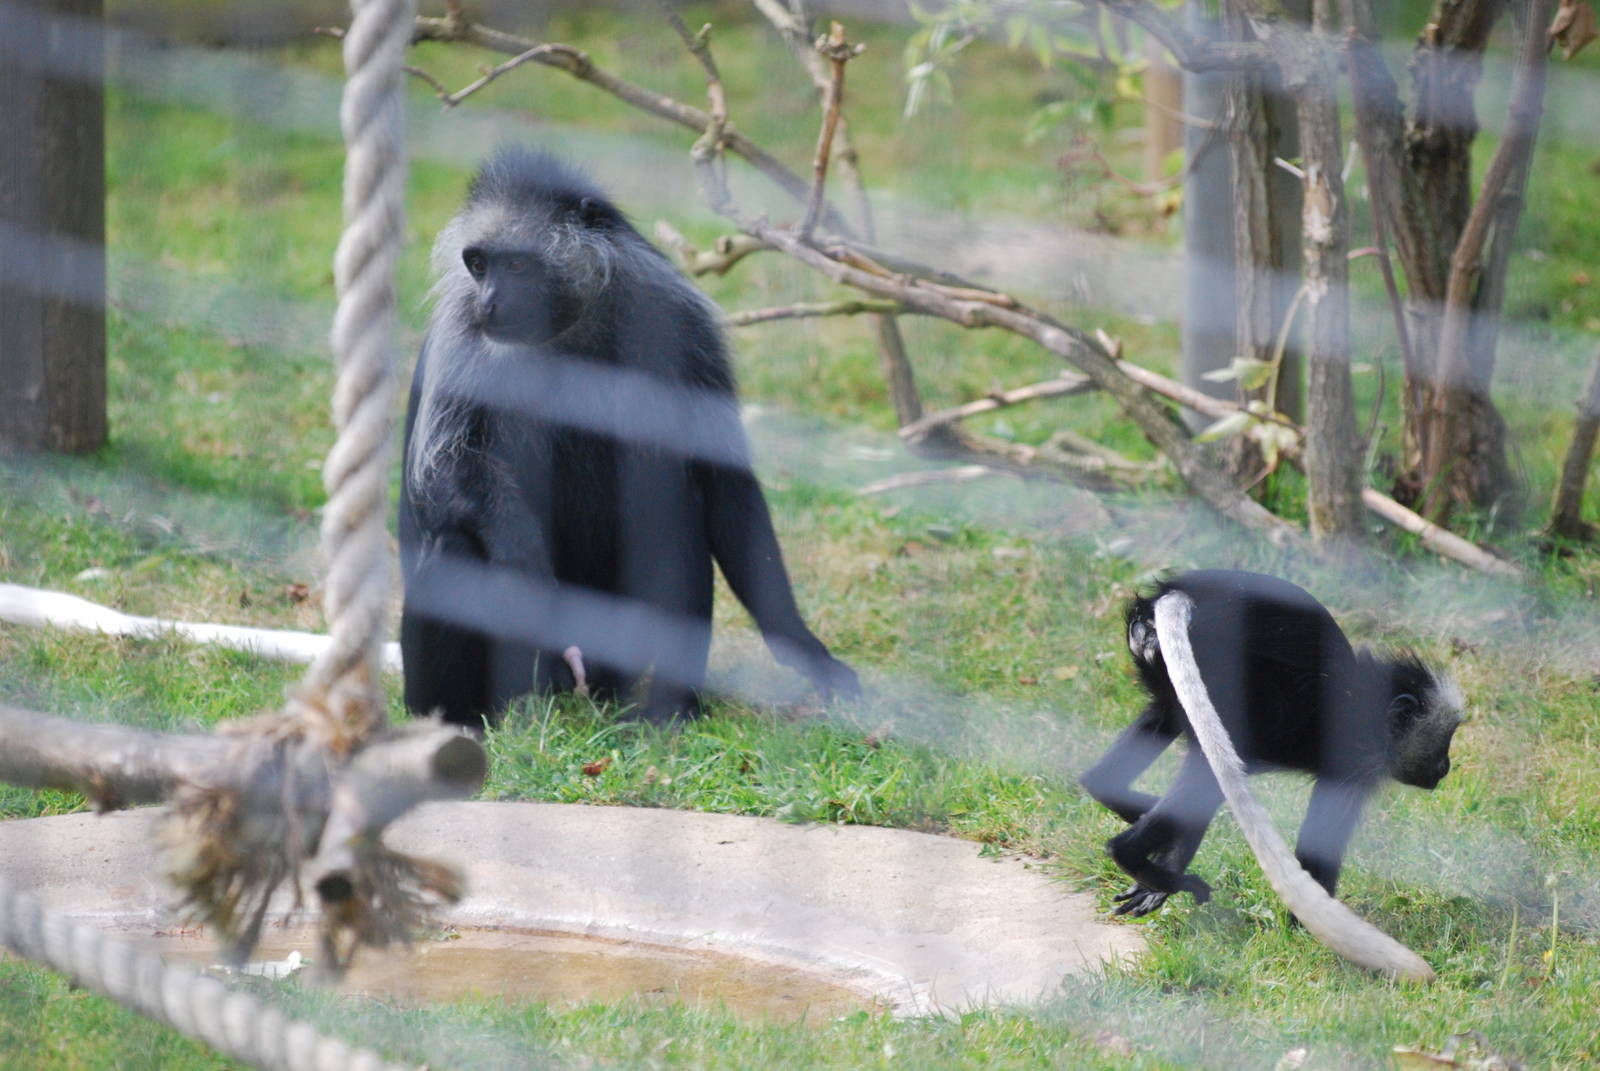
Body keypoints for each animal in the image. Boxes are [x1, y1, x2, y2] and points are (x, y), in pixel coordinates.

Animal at [398, 148, 860, 727]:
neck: (569, 328)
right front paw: (525, 561)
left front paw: (803, 648)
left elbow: (724, 485)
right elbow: (445, 470)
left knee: (679, 517)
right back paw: (457, 720)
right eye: (479, 265)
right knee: (457, 545)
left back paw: (669, 709)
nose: (490, 304)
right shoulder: (460, 337)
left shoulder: (682, 325)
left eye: (518, 264)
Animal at [1079, 570, 1460, 979]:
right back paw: (1131, 854)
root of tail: (1180, 593)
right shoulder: (1351, 761)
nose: (1446, 766)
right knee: (1209, 776)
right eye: (1445, 739)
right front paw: (1302, 930)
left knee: (1164, 737)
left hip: (1166, 673)